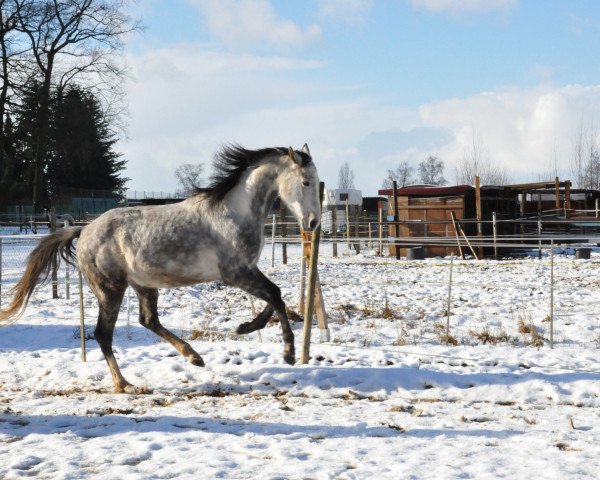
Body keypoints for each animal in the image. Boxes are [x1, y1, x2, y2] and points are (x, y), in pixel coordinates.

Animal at [0, 144, 322, 392]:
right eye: (306, 181)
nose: (313, 223)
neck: (234, 213)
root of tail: (84, 230)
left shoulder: (246, 271)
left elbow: (274, 297)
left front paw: (245, 327)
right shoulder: (236, 273)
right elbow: (275, 295)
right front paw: (288, 353)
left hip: (143, 285)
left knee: (148, 320)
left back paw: (193, 357)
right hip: (110, 289)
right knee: (104, 334)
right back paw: (125, 384)